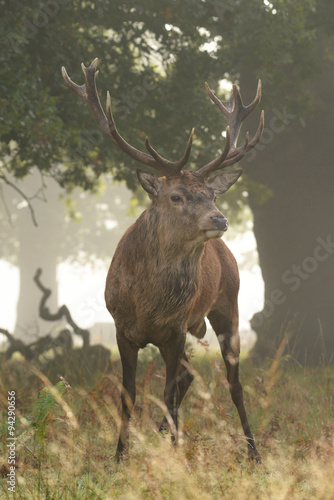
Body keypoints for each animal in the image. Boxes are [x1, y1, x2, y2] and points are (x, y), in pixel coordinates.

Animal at [62, 58, 264, 460]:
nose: (220, 219)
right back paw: (163, 431)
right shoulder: (122, 329)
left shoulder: (174, 329)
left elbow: (167, 391)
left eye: (210, 194)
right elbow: (128, 394)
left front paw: (173, 453)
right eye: (176, 196)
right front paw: (120, 456)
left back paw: (252, 451)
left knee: (232, 382)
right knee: (189, 375)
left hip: (227, 305)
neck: (148, 304)